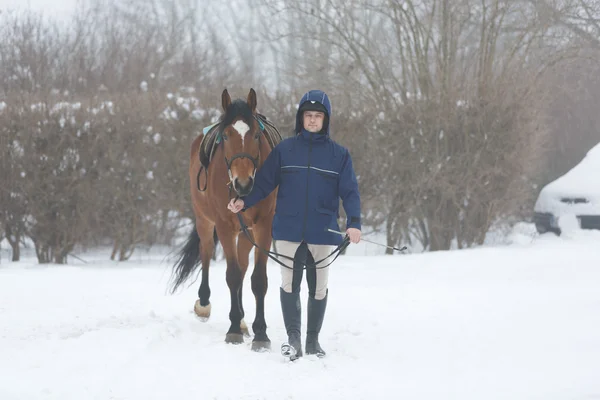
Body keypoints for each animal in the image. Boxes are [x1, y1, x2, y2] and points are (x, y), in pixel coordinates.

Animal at [169, 88, 282, 350]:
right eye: (227, 136)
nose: (243, 183)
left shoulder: (263, 226)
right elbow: (231, 275)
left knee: (242, 267)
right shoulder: (224, 226)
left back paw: (241, 320)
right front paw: (233, 330)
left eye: (256, 134)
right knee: (207, 253)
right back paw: (204, 305)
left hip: (246, 232)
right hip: (204, 220)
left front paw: (260, 333)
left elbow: (257, 279)